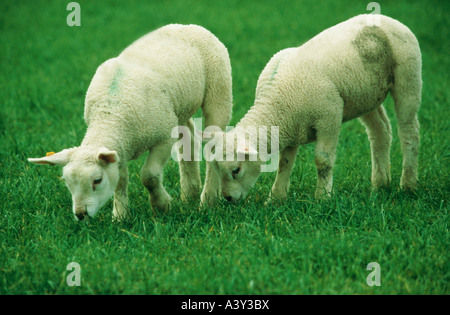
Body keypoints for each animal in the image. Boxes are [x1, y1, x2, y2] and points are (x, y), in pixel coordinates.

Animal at [27, 24, 234, 221]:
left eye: (97, 180)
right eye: (67, 183)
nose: (80, 214)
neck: (110, 116)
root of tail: (188, 26)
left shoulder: (164, 137)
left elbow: (149, 176)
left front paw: (162, 206)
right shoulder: (120, 147)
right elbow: (120, 181)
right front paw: (120, 216)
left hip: (218, 91)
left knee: (213, 142)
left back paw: (208, 199)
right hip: (179, 107)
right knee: (188, 135)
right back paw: (190, 193)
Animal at [207, 14, 422, 202]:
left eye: (235, 170)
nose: (227, 198)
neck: (277, 103)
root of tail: (387, 19)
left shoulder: (329, 117)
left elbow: (323, 161)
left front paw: (322, 198)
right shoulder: (291, 125)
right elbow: (284, 163)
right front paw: (276, 199)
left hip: (408, 77)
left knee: (409, 132)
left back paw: (408, 185)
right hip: (365, 97)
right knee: (380, 131)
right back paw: (380, 185)